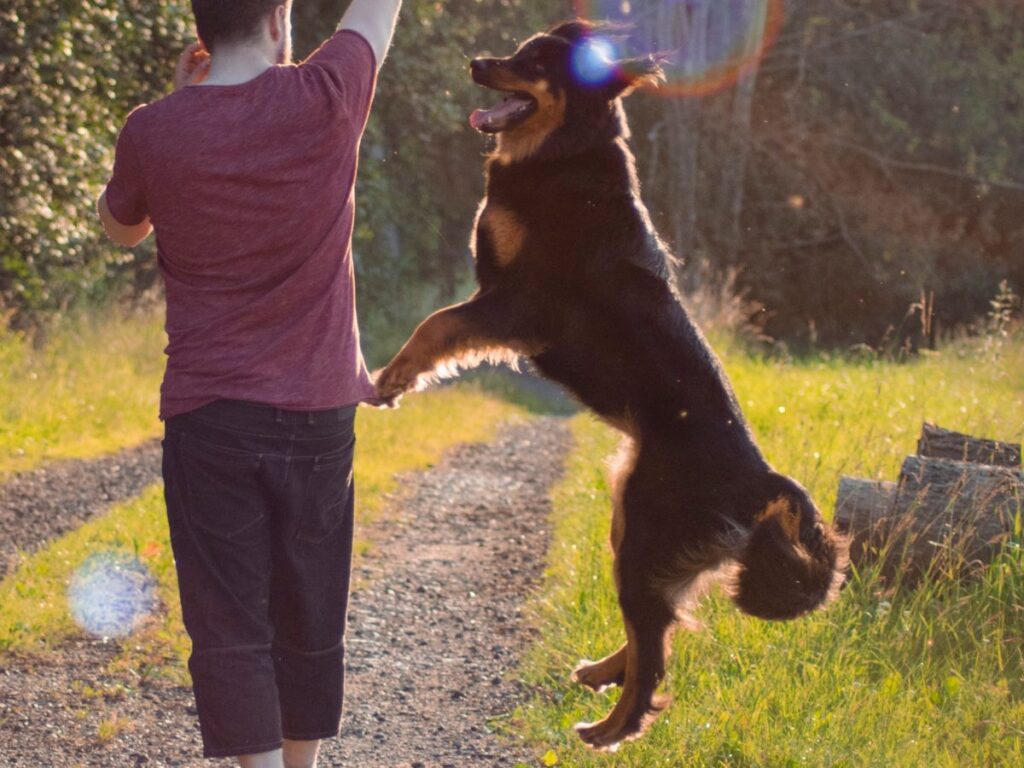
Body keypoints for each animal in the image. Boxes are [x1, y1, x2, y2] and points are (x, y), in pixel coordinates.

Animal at [376, 19, 847, 753]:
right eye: (516, 49)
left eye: (534, 61)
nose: (476, 62)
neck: (562, 153)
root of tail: (763, 480)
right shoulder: (505, 302)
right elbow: (439, 322)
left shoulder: (520, 303)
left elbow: (436, 324)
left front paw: (392, 378)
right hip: (633, 523)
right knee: (661, 627)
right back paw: (603, 673)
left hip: (644, 530)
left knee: (654, 653)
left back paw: (610, 727)